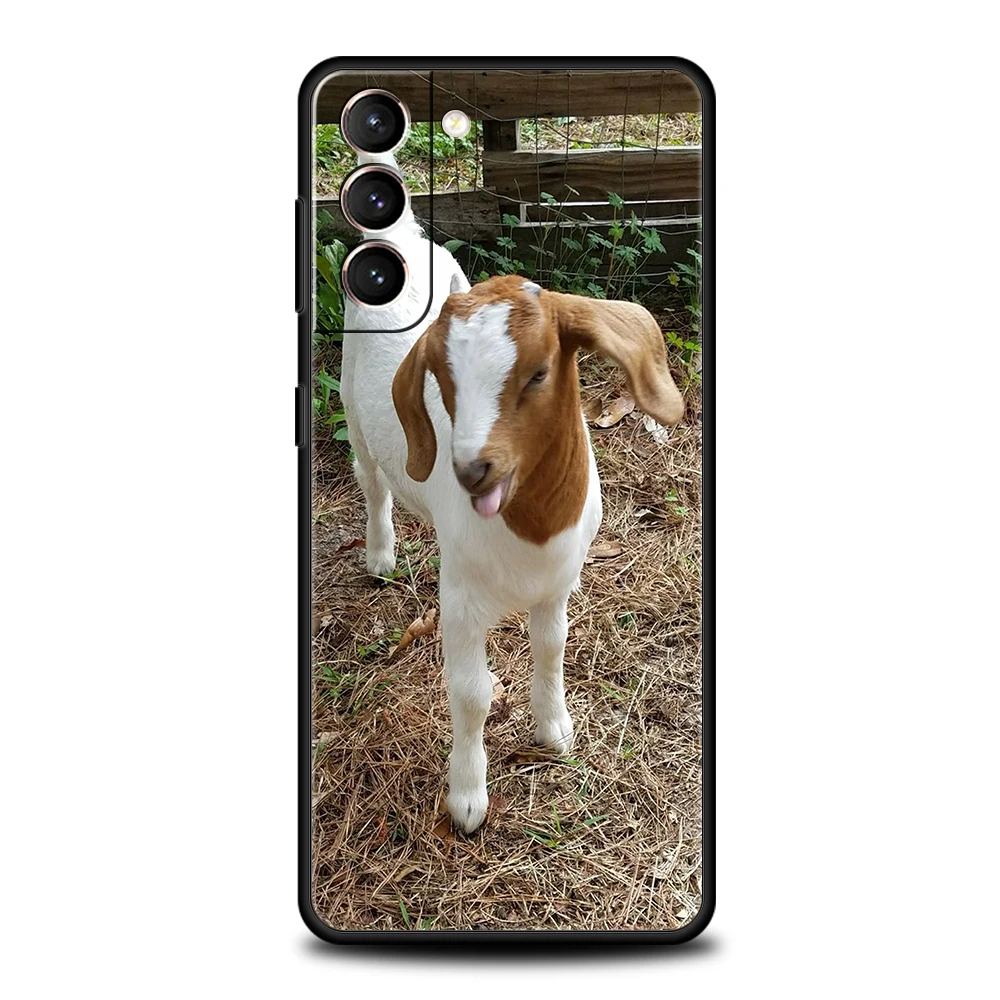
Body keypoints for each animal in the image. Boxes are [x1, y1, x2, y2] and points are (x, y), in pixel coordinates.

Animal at [341, 164, 684, 833]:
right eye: (442, 381)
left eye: (538, 373)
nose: (472, 469)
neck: (531, 527)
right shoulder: (461, 600)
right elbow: (472, 693)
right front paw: (468, 798)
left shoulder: (560, 581)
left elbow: (552, 647)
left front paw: (555, 731)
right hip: (351, 406)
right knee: (372, 484)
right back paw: (380, 557)